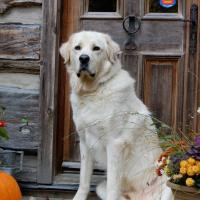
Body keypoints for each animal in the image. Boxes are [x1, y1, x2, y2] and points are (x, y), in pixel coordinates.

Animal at [59, 31, 173, 200]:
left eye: (96, 48)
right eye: (77, 48)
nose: (84, 58)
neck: (93, 91)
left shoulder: (115, 144)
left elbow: (113, 185)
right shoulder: (85, 143)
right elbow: (83, 179)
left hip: (167, 189)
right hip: (101, 188)